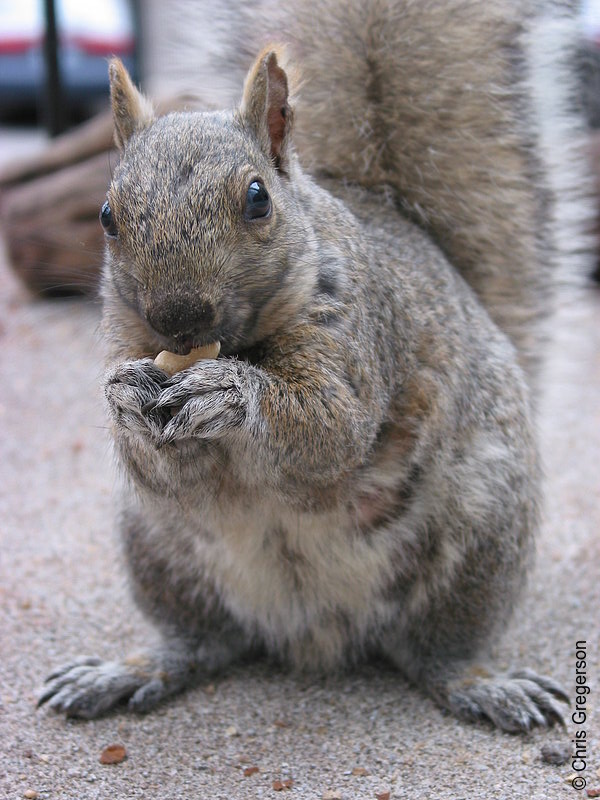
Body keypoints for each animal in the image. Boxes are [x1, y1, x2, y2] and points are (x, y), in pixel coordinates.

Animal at [35, 0, 584, 728]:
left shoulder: (357, 333)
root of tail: (314, 633)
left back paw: (480, 682)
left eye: (257, 198)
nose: (180, 317)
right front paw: (125, 396)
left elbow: (332, 427)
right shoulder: (128, 338)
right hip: (158, 549)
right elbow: (165, 471)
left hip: (482, 535)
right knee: (202, 641)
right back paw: (132, 669)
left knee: (435, 650)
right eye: (106, 216)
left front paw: (230, 395)